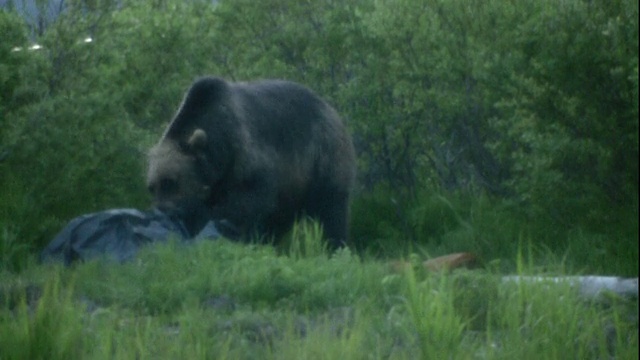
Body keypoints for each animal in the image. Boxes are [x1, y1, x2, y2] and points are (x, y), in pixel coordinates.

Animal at [146, 76, 358, 250]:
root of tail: (331, 109)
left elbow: (248, 201)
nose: (163, 210)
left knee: (331, 207)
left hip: (322, 156)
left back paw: (335, 246)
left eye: (170, 181)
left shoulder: (248, 156)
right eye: (152, 187)